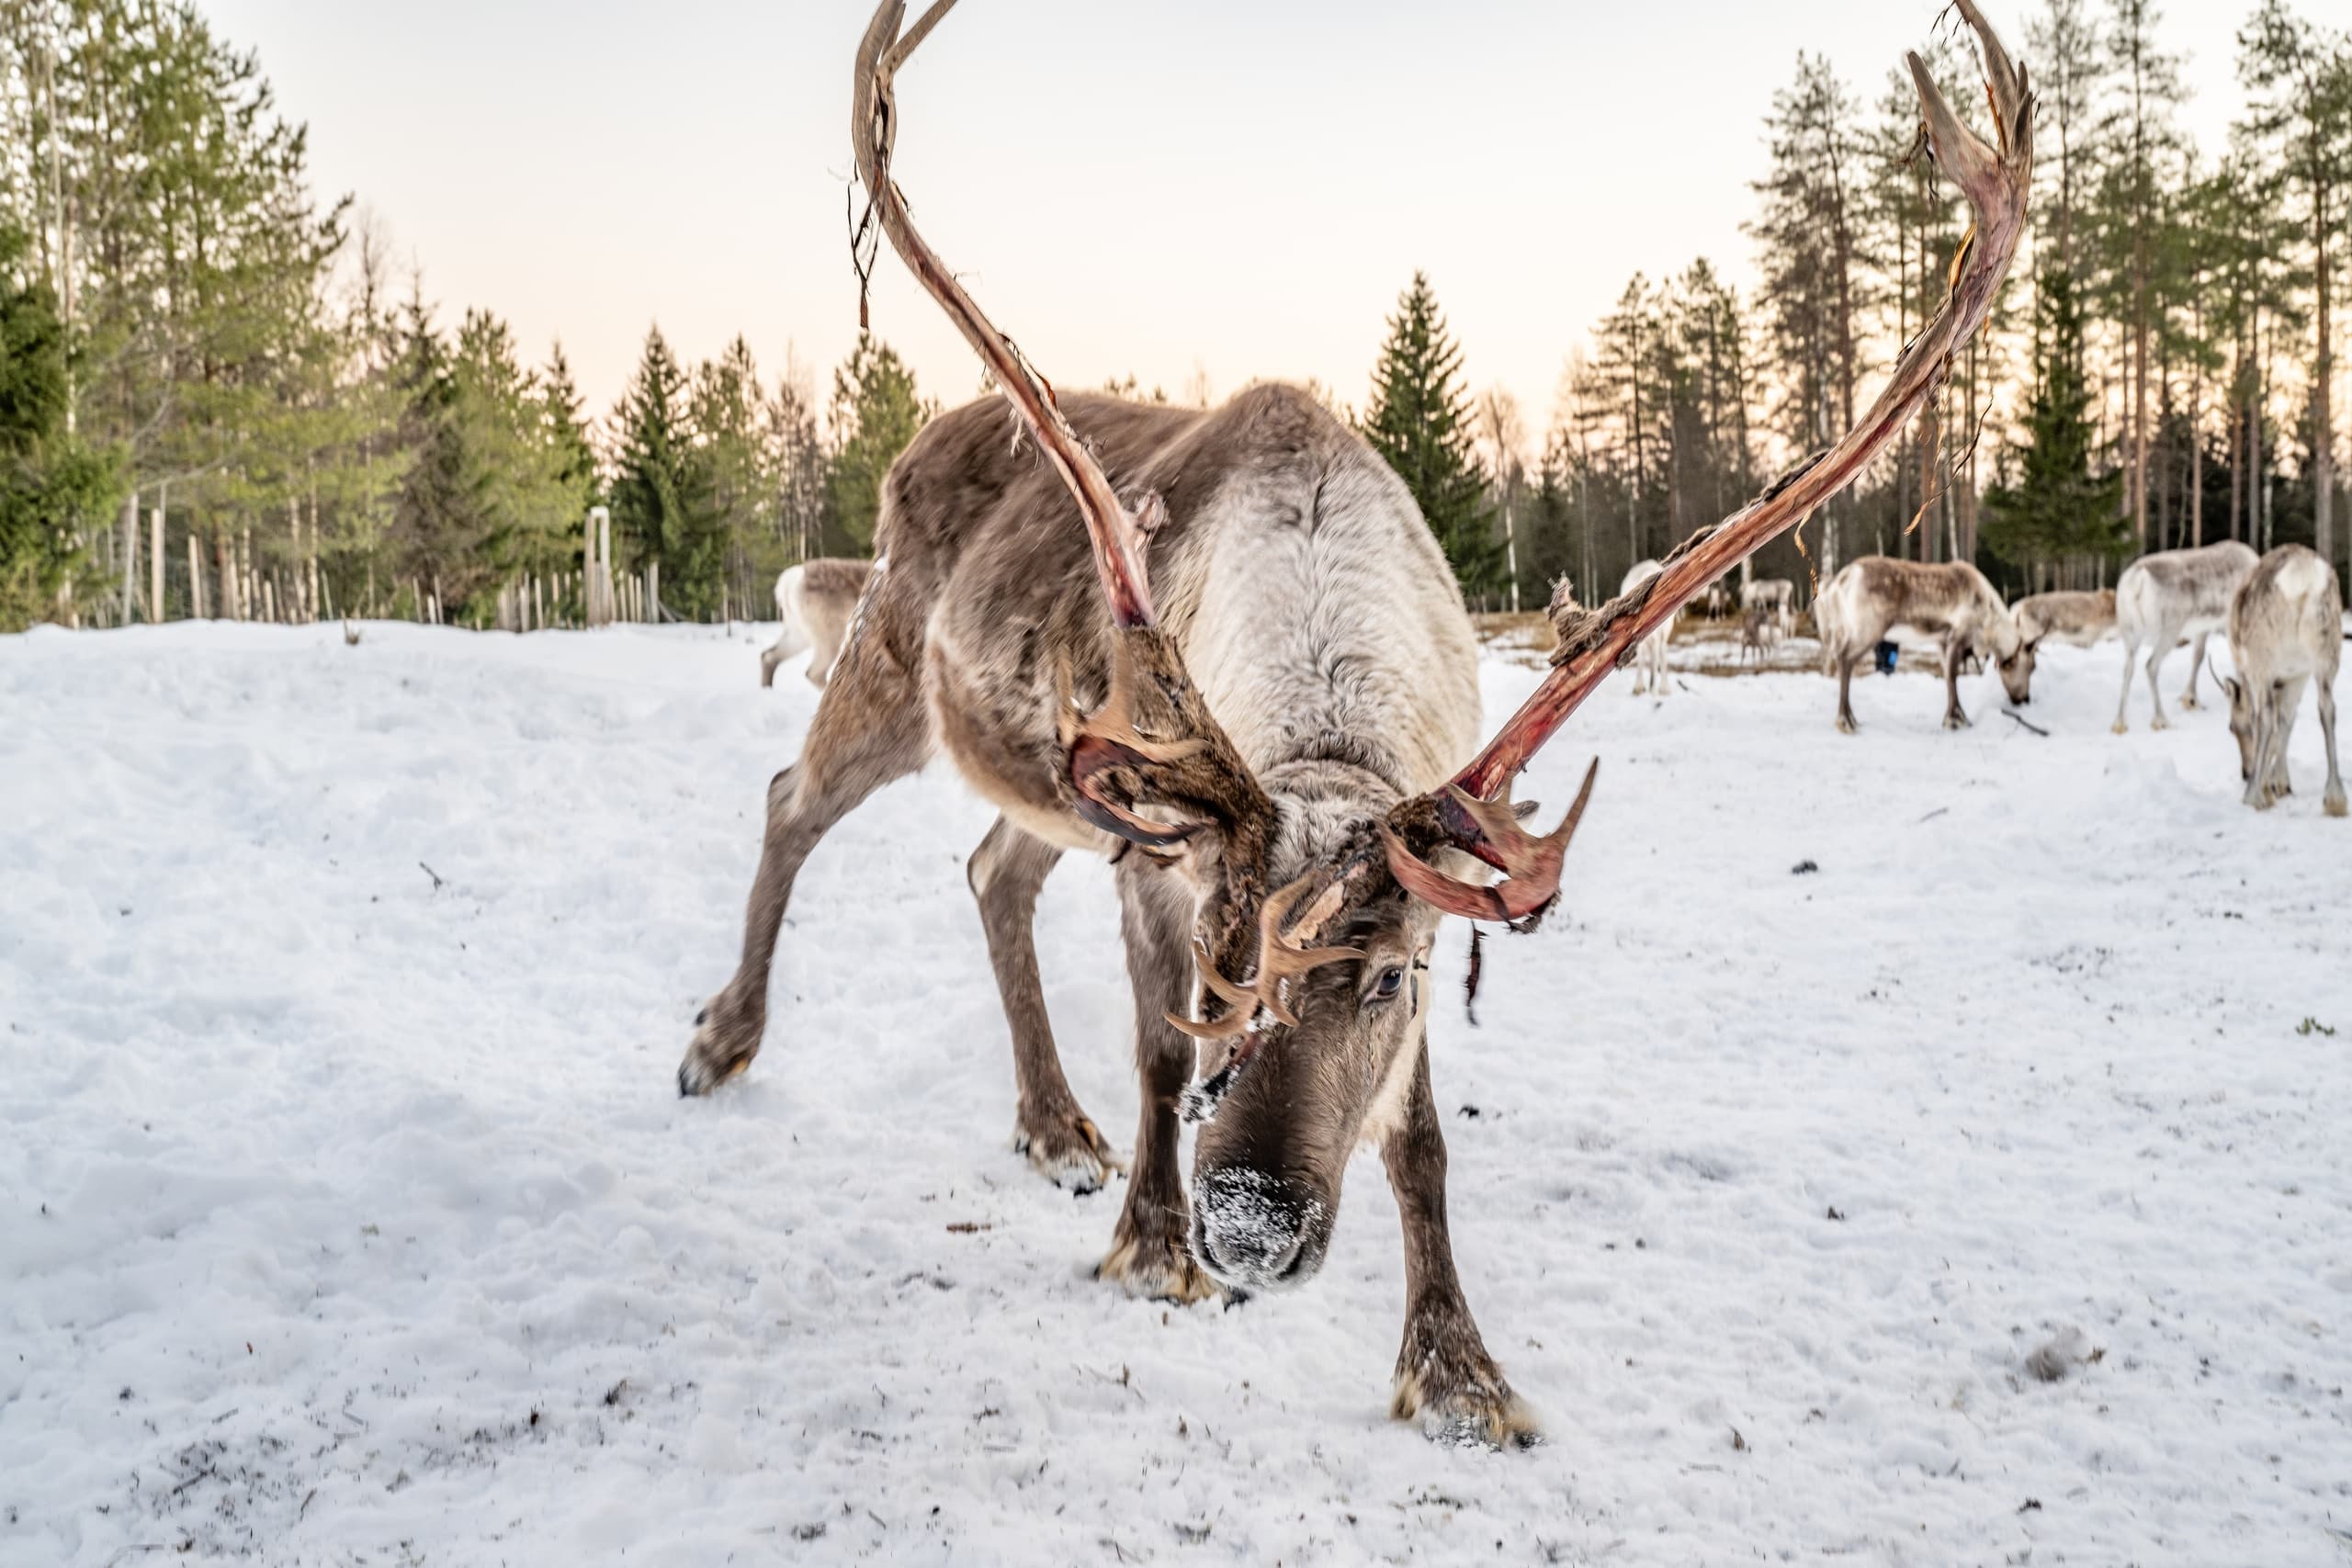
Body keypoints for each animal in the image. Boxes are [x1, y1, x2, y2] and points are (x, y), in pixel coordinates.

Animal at [1815, 557, 2028, 732]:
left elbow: (1948, 677)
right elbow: (1953, 675)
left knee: (1838, 658)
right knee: (1845, 658)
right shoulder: (1957, 635)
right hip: (1868, 629)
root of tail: (1844, 577)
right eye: (2030, 667)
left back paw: (1851, 719)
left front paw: (1955, 717)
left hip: (1846, 628)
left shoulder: (1942, 641)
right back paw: (1845, 721)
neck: (1989, 624)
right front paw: (1956, 720)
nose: (2024, 699)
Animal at [2110, 540, 2258, 733]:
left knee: (2128, 668)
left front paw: (2191, 700)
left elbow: (2198, 656)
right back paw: (2161, 720)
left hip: (2129, 632)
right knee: (2151, 666)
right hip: (2168, 631)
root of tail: (2137, 578)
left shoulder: (2203, 627)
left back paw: (2119, 723)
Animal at [2219, 545, 2345, 815]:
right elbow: (2287, 720)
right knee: (2327, 708)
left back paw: (2253, 796)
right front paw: (2281, 782)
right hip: (2327, 647)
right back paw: (2336, 797)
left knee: (2266, 715)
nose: (2245, 772)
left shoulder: (2251, 672)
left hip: (2263, 655)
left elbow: (2261, 719)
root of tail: (2302, 576)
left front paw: (2266, 785)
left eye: (2232, 727)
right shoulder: (2297, 674)